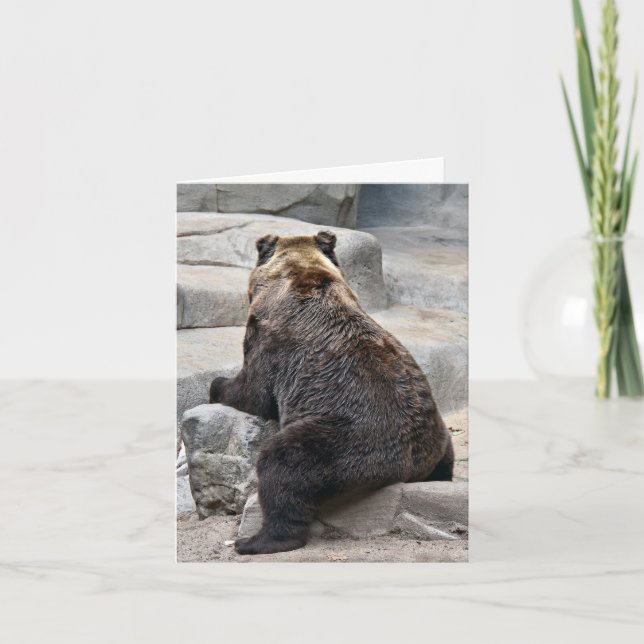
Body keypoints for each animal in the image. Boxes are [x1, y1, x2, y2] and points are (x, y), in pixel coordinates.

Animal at [209, 230, 454, 555]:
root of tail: (409, 466)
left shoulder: (268, 337)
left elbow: (254, 392)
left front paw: (216, 385)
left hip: (348, 438)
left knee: (282, 462)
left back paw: (257, 540)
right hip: (434, 434)